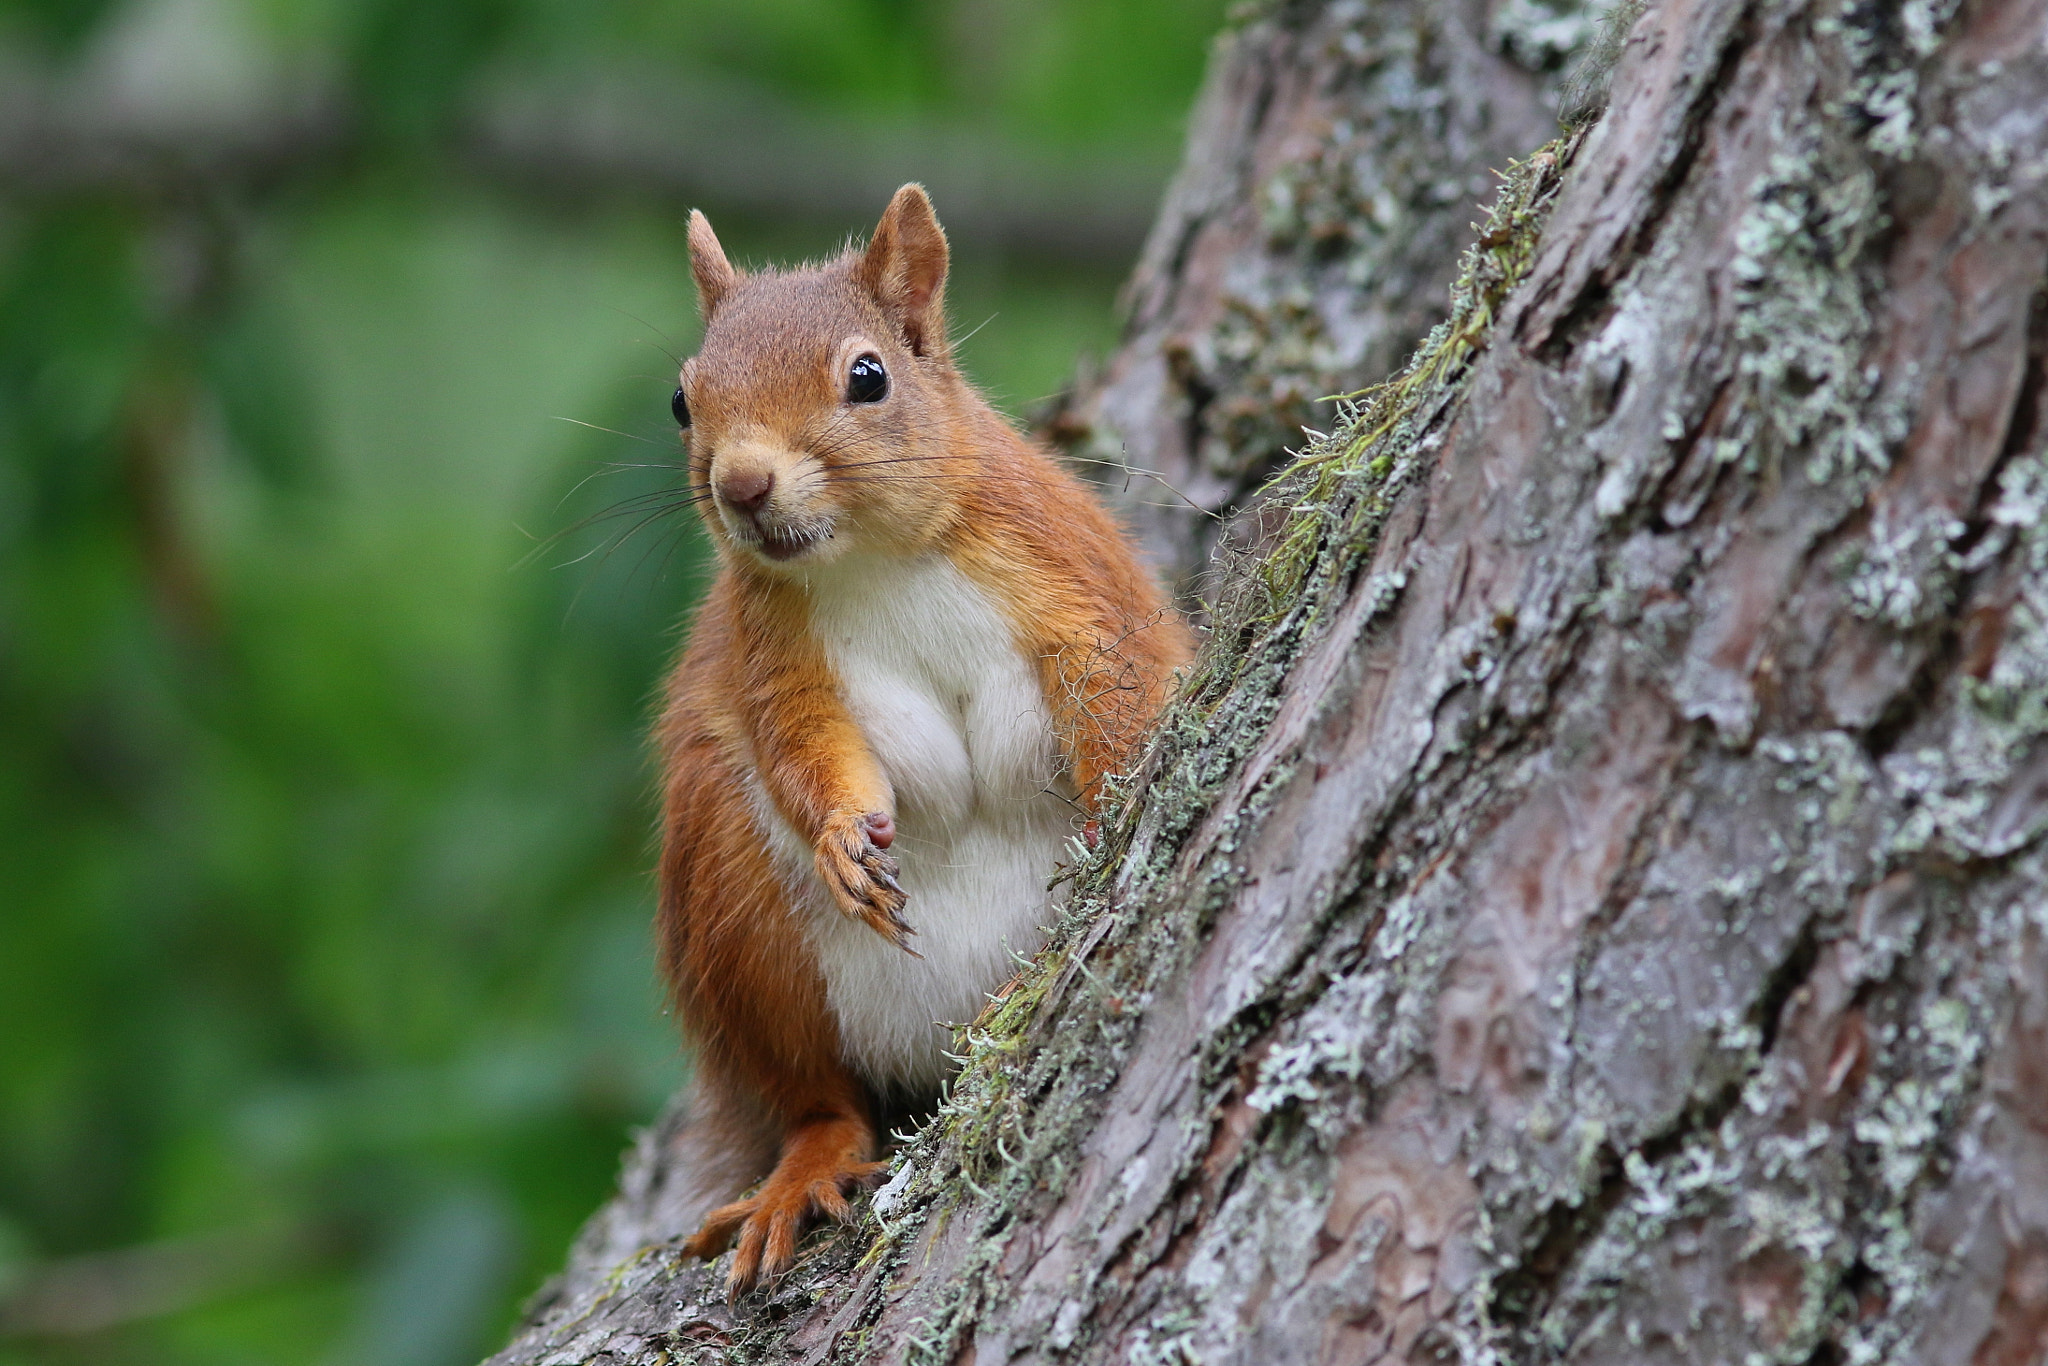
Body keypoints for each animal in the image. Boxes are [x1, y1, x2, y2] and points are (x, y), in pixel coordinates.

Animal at [653, 184, 1192, 1290]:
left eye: (868, 377)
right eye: (682, 401)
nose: (743, 484)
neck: (873, 560)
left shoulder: (1063, 571)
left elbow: (1113, 688)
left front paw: (1121, 800)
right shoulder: (774, 656)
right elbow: (801, 750)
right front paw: (842, 840)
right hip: (737, 913)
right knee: (819, 1098)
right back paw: (802, 1167)